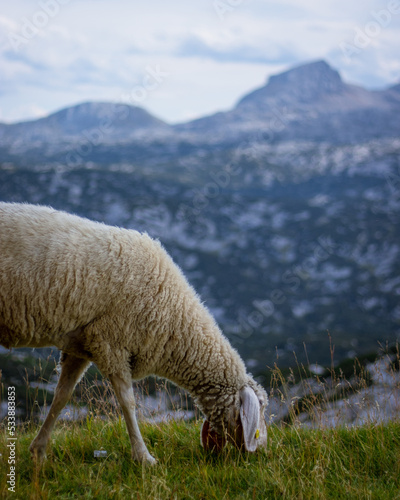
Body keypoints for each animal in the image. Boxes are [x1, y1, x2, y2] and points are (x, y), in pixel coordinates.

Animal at [1, 202, 268, 464]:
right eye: (261, 413)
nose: (263, 450)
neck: (176, 319)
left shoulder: (80, 345)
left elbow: (62, 396)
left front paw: (39, 451)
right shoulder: (112, 343)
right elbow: (128, 402)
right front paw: (143, 457)